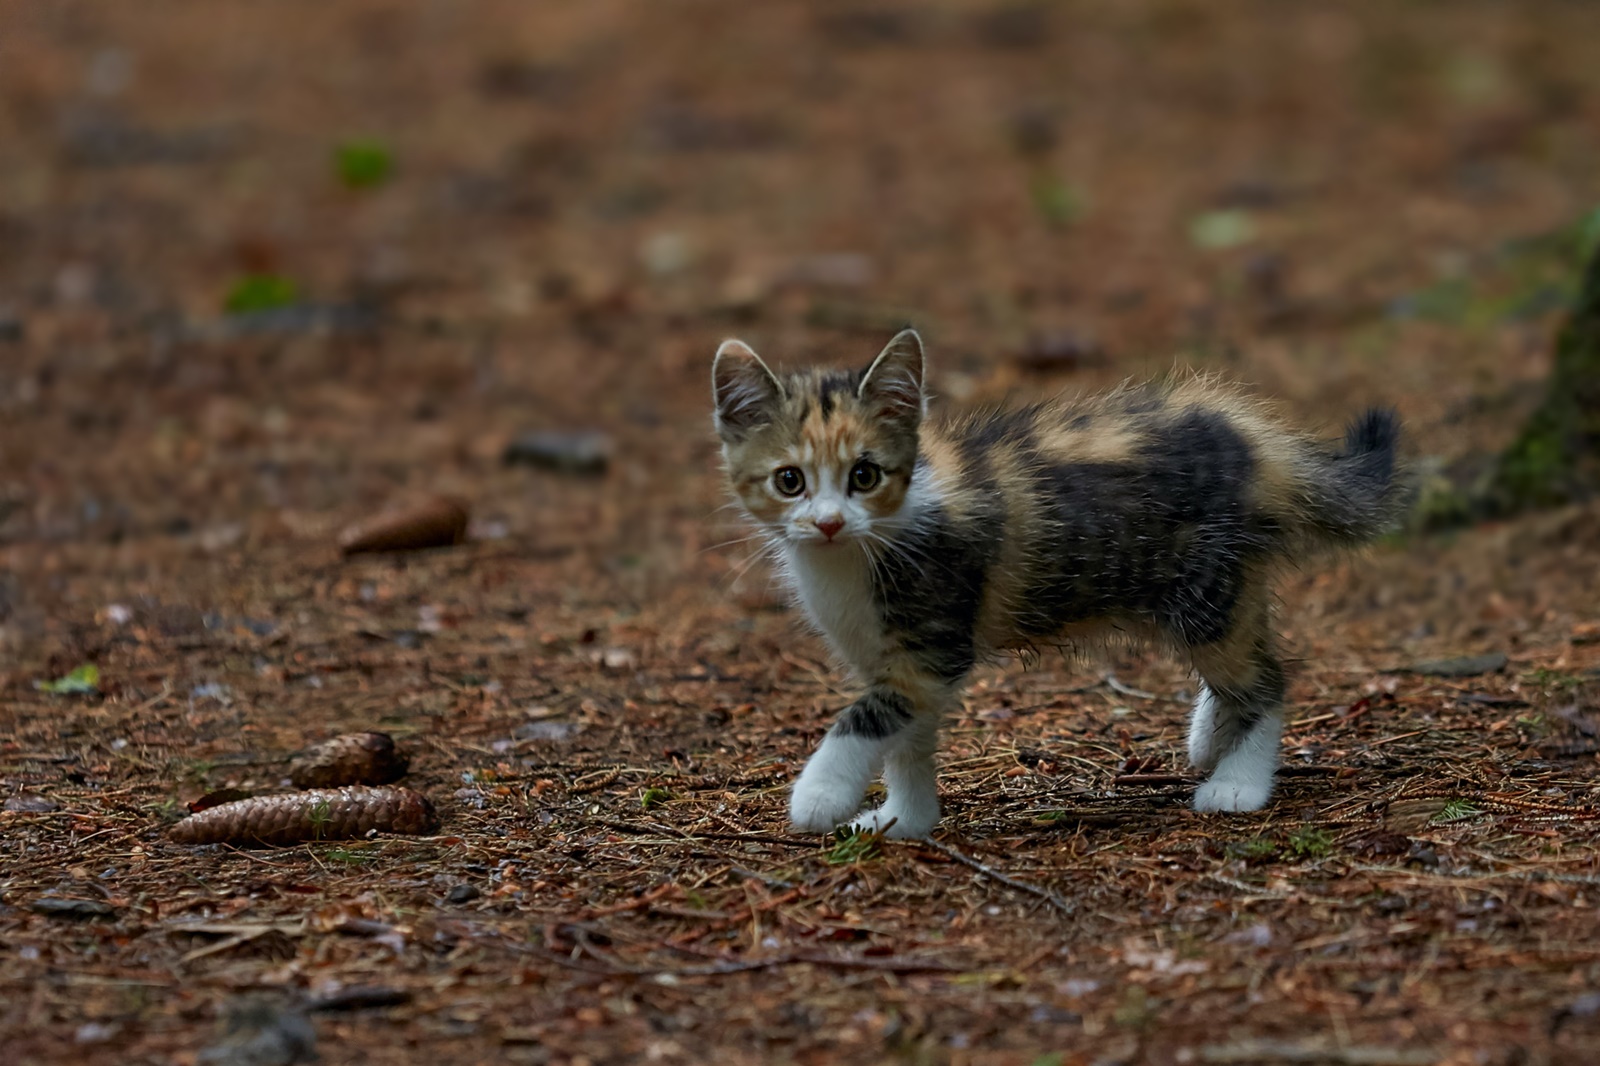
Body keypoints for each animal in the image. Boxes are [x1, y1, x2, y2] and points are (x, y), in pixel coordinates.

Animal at [713, 328, 1401, 832]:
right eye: (790, 481)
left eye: (864, 475)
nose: (828, 523)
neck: (855, 554)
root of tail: (1258, 443)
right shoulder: (898, 659)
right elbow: (909, 739)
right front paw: (906, 822)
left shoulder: (931, 643)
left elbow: (868, 718)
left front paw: (819, 795)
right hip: (1223, 584)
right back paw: (1211, 741)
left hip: (1204, 588)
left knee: (1265, 680)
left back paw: (1238, 784)